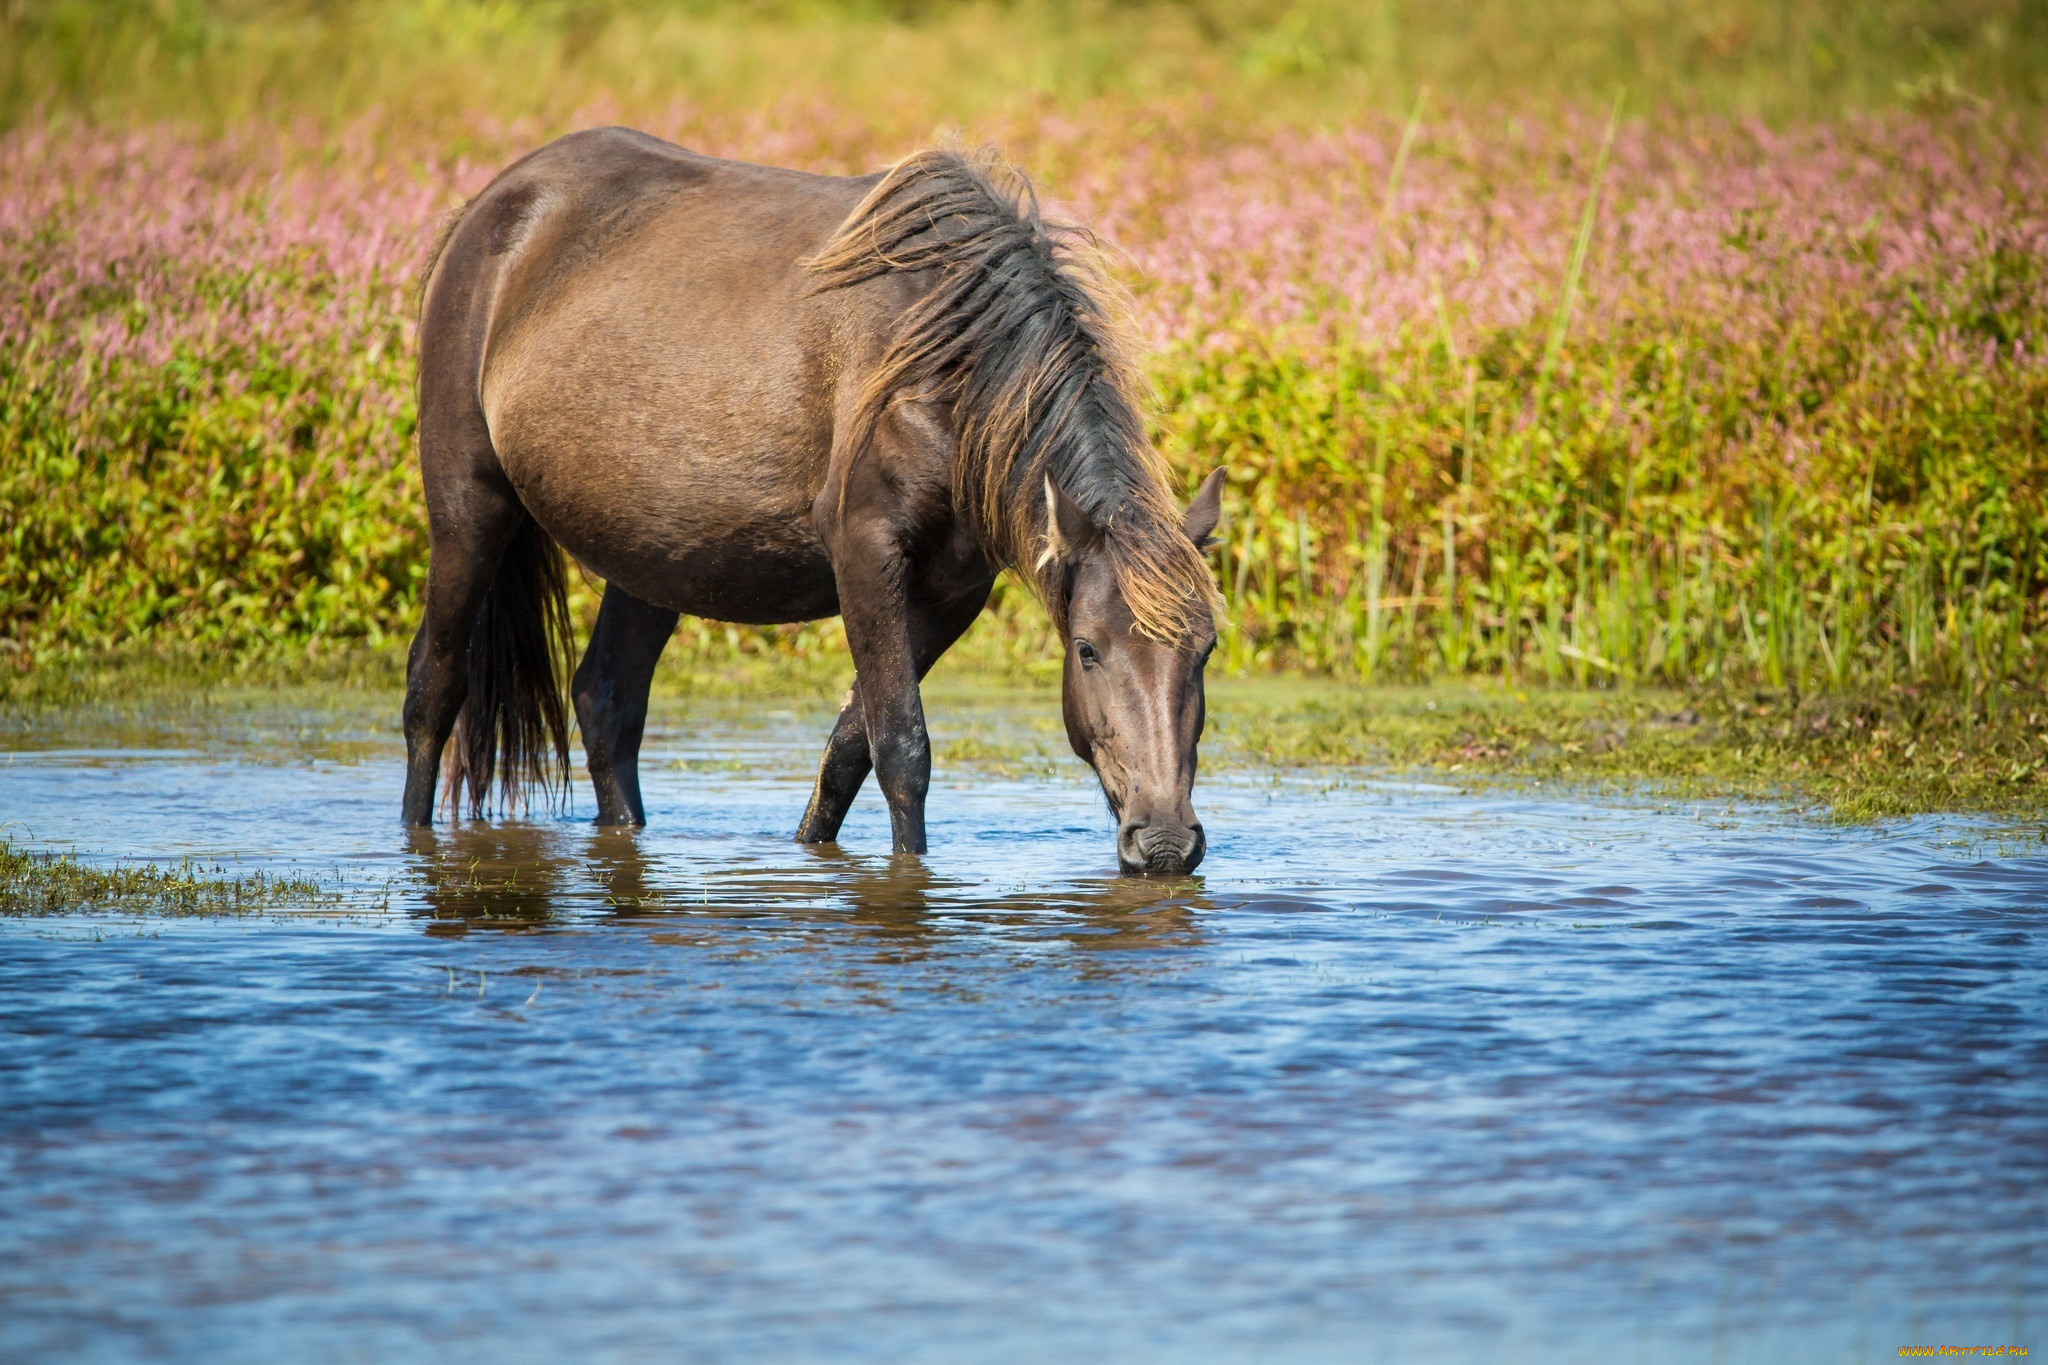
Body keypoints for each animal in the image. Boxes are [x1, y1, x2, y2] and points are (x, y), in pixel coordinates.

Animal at [405, 127, 1220, 875]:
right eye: (1086, 648)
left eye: (1206, 650)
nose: (1165, 843)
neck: (949, 367)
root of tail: (493, 207)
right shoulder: (864, 551)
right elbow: (902, 748)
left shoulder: (949, 592)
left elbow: (850, 746)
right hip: (468, 511)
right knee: (432, 688)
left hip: (653, 560)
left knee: (607, 702)